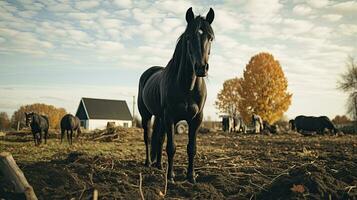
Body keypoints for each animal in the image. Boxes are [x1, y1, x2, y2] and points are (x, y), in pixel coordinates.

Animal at [136, 7, 214, 183]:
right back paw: (149, 163)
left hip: (160, 117)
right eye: (189, 37)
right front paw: (171, 177)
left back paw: (159, 165)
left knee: (159, 137)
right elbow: (171, 147)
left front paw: (191, 176)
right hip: (147, 115)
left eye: (211, 38)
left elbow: (191, 148)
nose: (201, 68)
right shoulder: (170, 116)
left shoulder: (196, 119)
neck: (187, 86)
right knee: (148, 137)